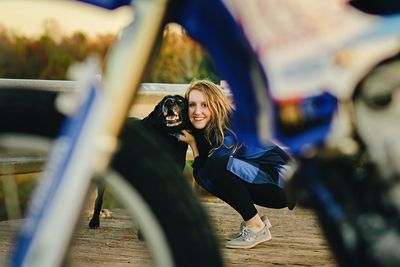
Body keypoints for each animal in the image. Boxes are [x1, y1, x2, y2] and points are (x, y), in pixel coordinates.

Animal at [89, 95, 189, 229]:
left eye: (180, 100)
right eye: (164, 100)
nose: (168, 102)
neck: (167, 136)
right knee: (99, 198)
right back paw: (94, 221)